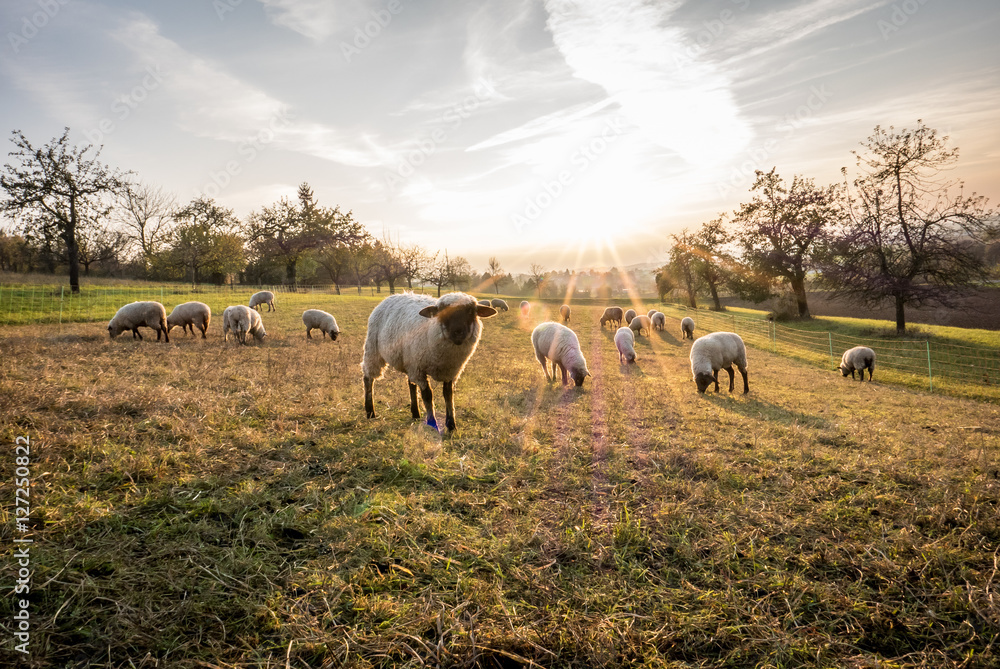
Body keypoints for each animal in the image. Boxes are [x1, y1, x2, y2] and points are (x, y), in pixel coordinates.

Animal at [362, 291, 497, 432]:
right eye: (442, 312)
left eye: (471, 311)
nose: (458, 332)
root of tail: (393, 295)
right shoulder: (420, 369)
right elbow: (428, 395)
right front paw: (433, 424)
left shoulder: (450, 371)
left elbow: (448, 395)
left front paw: (452, 425)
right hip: (373, 349)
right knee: (368, 378)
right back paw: (370, 412)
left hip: (409, 361)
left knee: (410, 383)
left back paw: (415, 413)